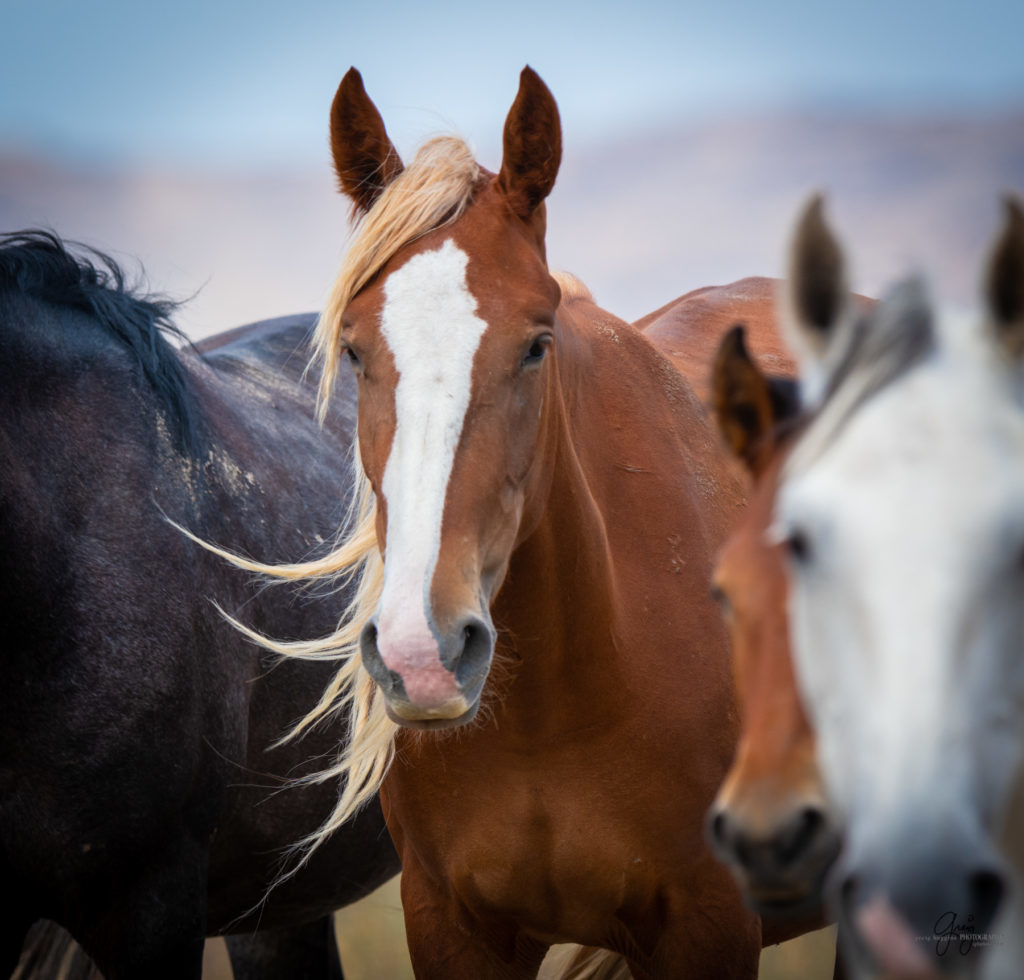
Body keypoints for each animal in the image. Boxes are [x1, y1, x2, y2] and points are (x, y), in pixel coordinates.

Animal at [232, 67, 831, 970]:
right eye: (356, 351)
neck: (554, 710)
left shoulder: (710, 922)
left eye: (537, 345)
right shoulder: (450, 923)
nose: (423, 654)